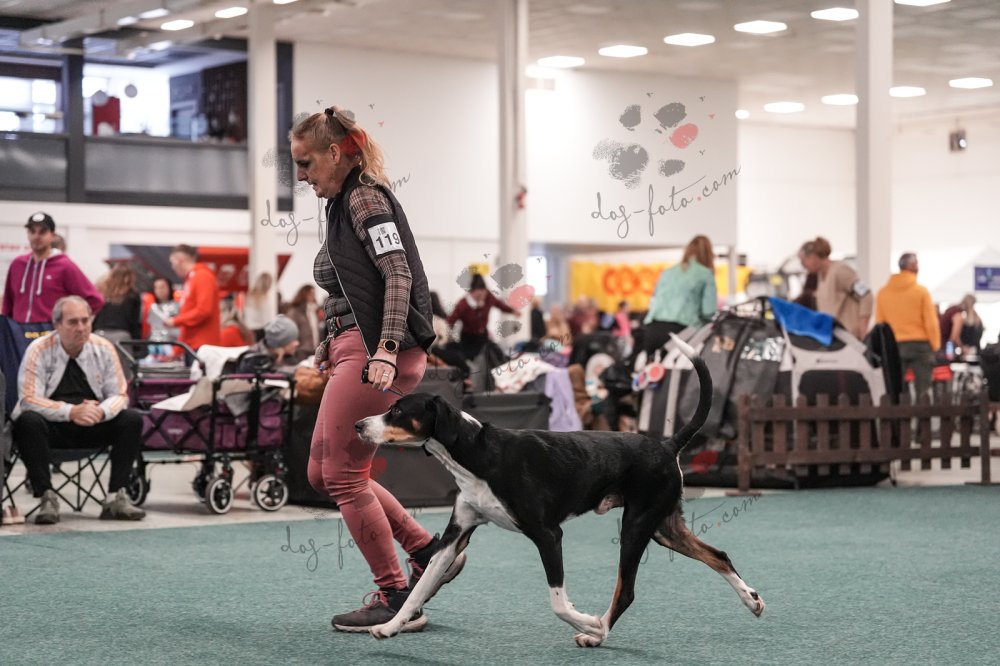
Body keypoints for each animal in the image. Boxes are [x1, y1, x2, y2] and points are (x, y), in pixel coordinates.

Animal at [355, 336, 764, 647]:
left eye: (397, 411)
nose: (358, 425)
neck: (480, 454)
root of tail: (666, 444)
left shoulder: (549, 535)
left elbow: (558, 602)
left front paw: (587, 622)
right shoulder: (457, 535)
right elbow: (420, 589)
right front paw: (389, 627)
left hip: (637, 525)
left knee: (626, 591)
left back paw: (598, 633)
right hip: (664, 527)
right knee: (719, 556)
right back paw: (752, 601)